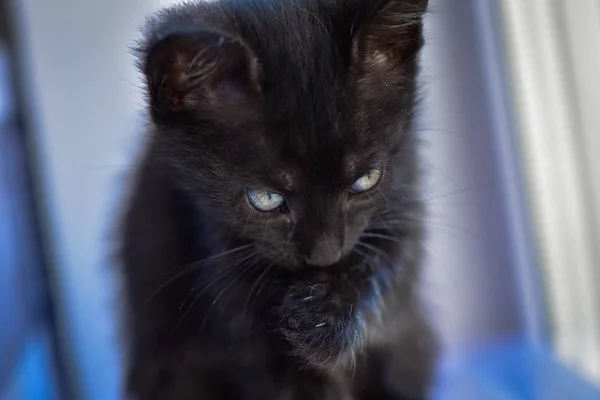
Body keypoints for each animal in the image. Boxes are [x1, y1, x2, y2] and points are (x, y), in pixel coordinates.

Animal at [118, 0, 436, 400]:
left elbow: (390, 272)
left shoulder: (402, 200)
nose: (325, 253)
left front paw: (323, 321)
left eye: (366, 180)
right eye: (267, 199)